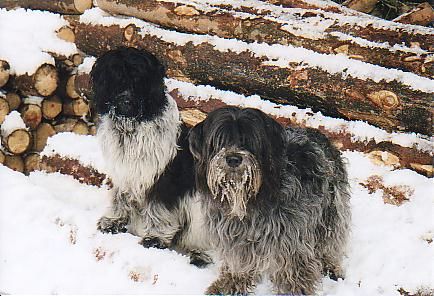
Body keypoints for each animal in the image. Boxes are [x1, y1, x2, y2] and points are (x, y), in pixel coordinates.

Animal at [90, 46, 209, 266]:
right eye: (115, 78)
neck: (132, 126)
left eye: (138, 79)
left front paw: (155, 238)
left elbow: (158, 208)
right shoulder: (124, 173)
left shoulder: (163, 177)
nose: (126, 101)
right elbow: (120, 198)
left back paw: (200, 254)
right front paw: (114, 221)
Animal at [190, 106, 352, 294]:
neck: (252, 199)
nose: (233, 159)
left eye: (249, 141)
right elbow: (239, 263)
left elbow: (293, 272)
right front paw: (229, 285)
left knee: (331, 240)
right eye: (220, 140)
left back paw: (331, 266)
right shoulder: (234, 237)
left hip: (331, 210)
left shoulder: (292, 242)